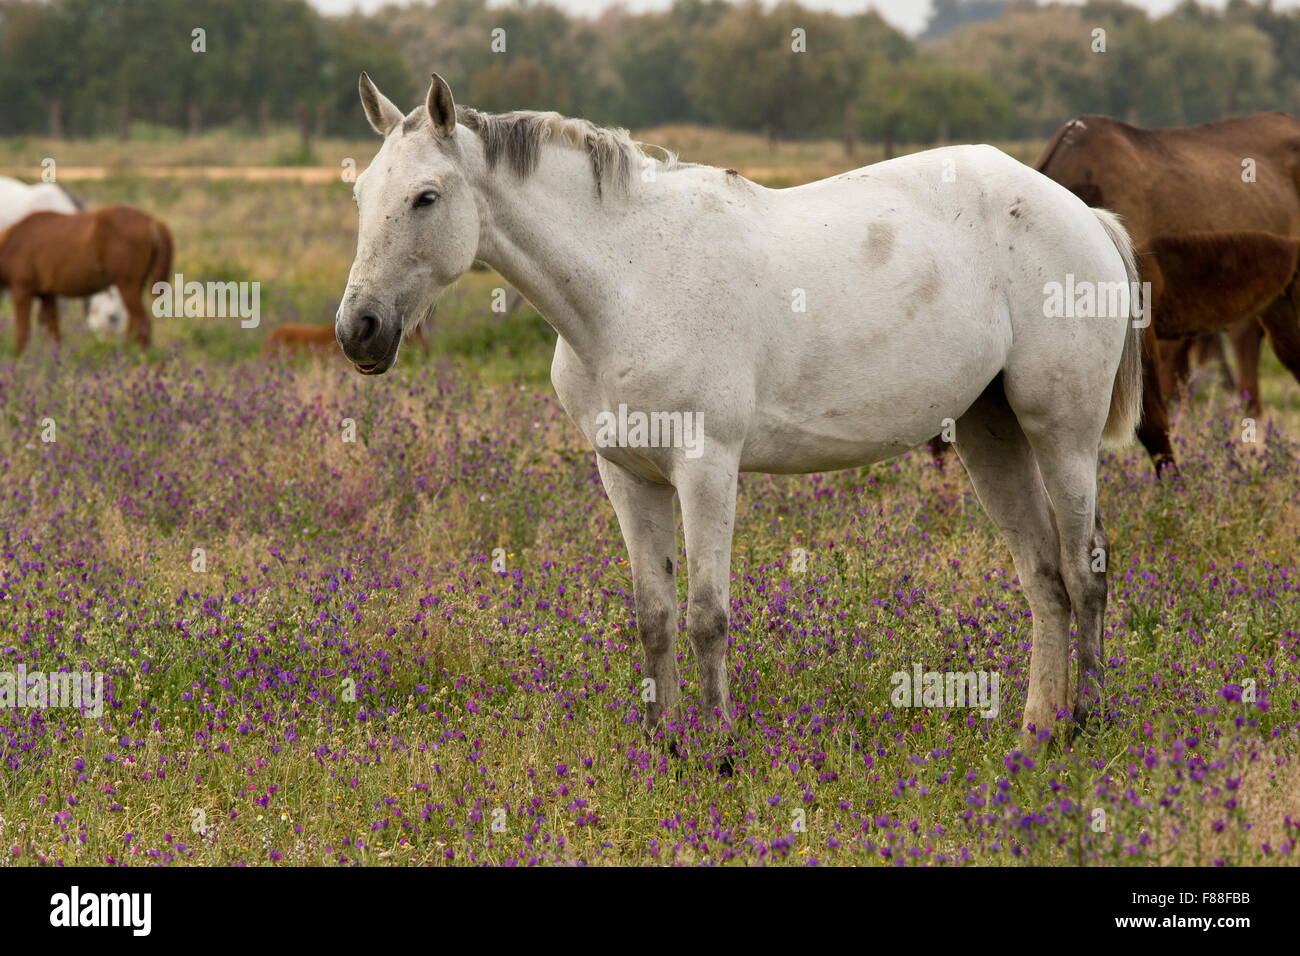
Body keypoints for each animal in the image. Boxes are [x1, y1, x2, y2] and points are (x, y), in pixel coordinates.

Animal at [0, 204, 172, 353]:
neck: (14, 242)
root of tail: (152, 221)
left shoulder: (22, 291)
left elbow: (23, 331)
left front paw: (20, 357)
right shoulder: (47, 295)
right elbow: (54, 331)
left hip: (127, 286)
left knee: (142, 321)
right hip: (136, 286)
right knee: (134, 322)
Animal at [340, 76, 1144, 749]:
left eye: (426, 197)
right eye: (363, 195)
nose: (359, 331)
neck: (629, 282)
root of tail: (1084, 215)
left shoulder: (706, 468)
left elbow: (707, 616)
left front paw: (722, 751)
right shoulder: (627, 476)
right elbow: (655, 617)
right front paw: (665, 748)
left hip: (1062, 435)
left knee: (1085, 574)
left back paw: (1089, 726)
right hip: (990, 433)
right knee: (1042, 578)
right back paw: (1036, 733)